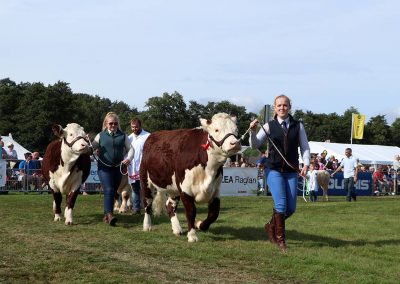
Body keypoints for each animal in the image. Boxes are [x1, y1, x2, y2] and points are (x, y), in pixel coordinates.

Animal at [141, 112, 241, 242]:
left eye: (236, 130)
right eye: (216, 129)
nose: (235, 143)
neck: (208, 169)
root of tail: (153, 135)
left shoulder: (215, 191)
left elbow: (214, 214)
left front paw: (199, 225)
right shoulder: (185, 190)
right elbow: (191, 212)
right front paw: (192, 236)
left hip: (173, 187)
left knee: (170, 205)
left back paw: (177, 229)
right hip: (145, 180)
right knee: (147, 203)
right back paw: (147, 226)